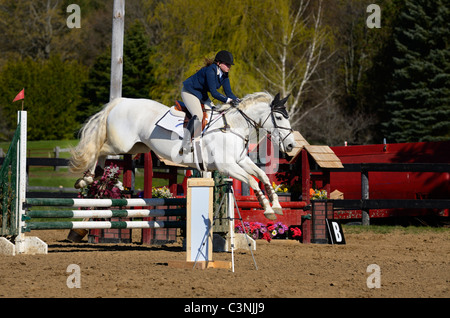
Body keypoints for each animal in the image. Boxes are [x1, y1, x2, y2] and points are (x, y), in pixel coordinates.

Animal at [69, 91, 296, 219]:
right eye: (278, 117)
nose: (291, 145)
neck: (233, 126)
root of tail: (120, 102)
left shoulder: (240, 160)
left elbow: (263, 175)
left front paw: (276, 206)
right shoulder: (227, 166)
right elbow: (253, 180)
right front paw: (268, 210)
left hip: (136, 147)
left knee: (102, 152)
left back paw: (91, 177)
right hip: (121, 144)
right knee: (99, 149)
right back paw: (87, 178)